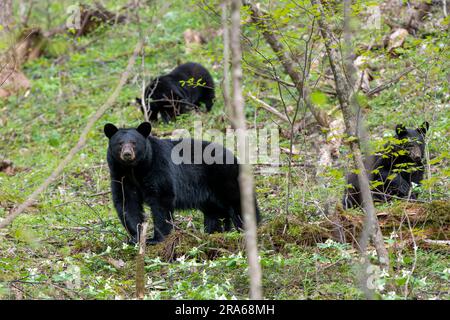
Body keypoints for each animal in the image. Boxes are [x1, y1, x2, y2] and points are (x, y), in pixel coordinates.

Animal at [104, 121, 260, 244]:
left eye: (134, 143)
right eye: (120, 143)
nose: (127, 154)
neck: (135, 169)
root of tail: (234, 156)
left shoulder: (158, 167)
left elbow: (161, 200)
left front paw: (157, 238)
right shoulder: (120, 176)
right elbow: (126, 203)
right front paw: (136, 237)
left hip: (224, 176)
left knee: (236, 200)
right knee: (215, 211)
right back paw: (214, 231)